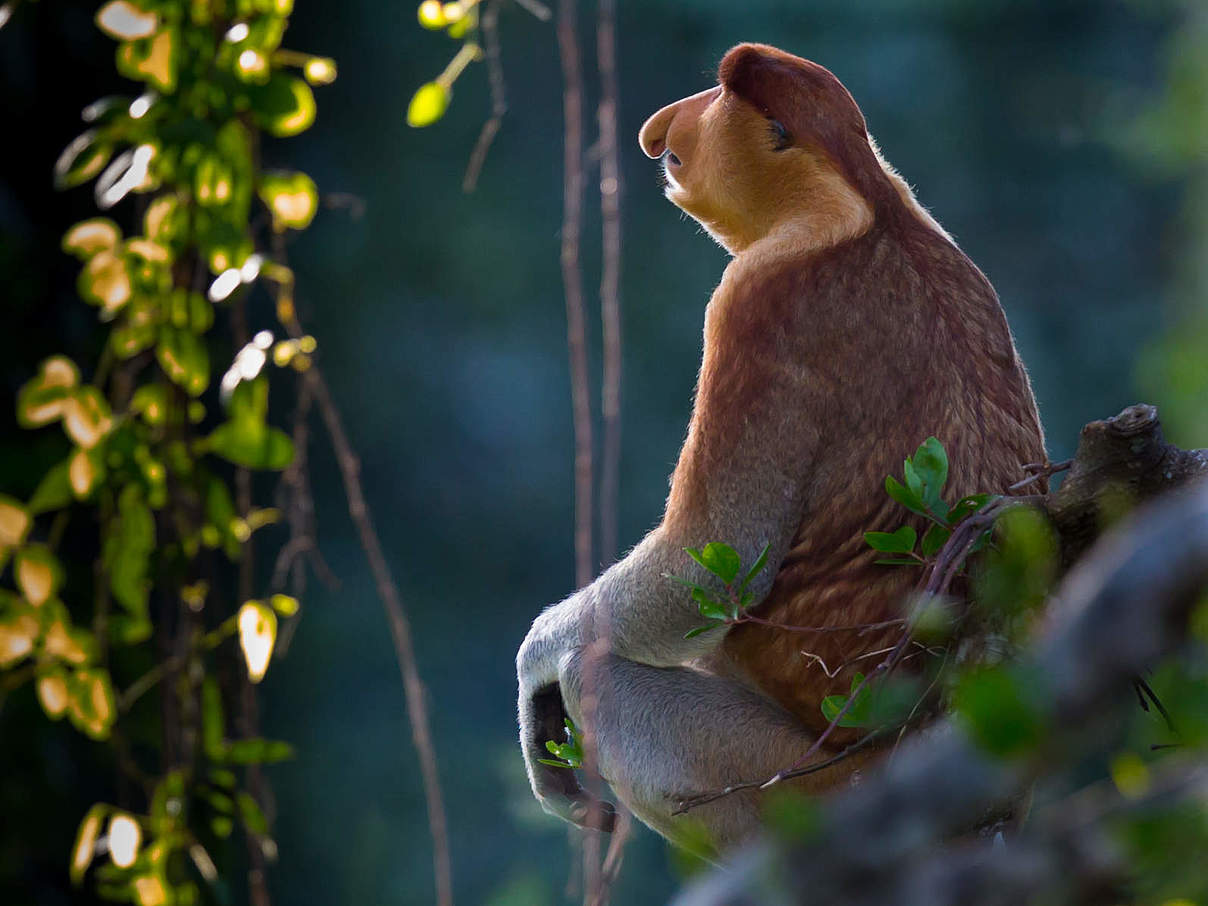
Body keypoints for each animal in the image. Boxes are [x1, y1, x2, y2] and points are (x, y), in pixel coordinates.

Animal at [514, 40, 1043, 850]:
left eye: (715, 96)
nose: (658, 132)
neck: (862, 204)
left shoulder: (753, 305)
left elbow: (713, 555)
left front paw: (535, 660)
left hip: (804, 781)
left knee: (601, 677)